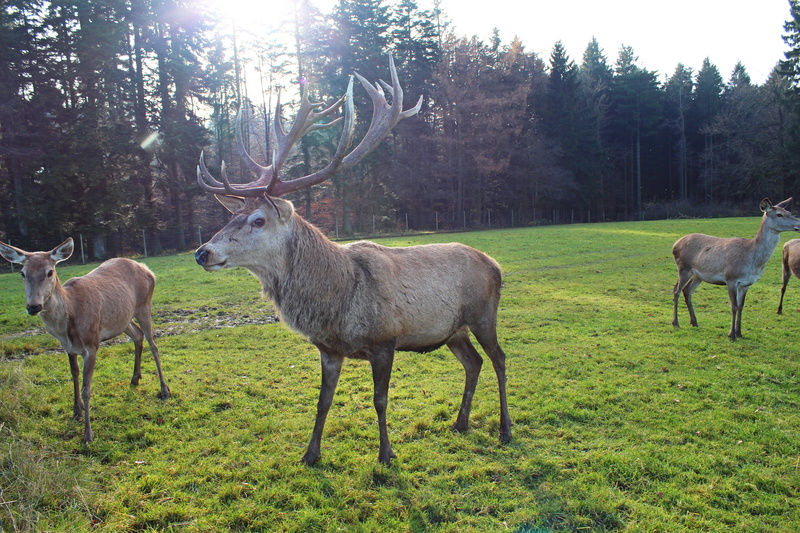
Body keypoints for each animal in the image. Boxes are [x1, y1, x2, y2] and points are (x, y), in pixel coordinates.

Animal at [0, 238, 171, 443]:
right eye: (22, 273)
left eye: (50, 272)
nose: (33, 306)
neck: (68, 319)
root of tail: (147, 269)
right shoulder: (68, 347)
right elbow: (74, 375)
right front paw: (76, 411)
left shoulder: (91, 343)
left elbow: (86, 388)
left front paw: (88, 434)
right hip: (121, 319)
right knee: (137, 335)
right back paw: (135, 378)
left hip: (144, 305)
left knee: (154, 345)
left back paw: (164, 389)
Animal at [194, 56, 512, 465]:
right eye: (231, 215)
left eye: (258, 219)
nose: (203, 252)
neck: (337, 303)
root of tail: (495, 264)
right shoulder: (329, 350)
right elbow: (322, 402)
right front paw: (310, 454)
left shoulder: (385, 340)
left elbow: (380, 400)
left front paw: (386, 454)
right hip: (452, 330)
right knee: (474, 363)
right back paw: (460, 422)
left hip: (483, 312)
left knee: (500, 359)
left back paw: (505, 428)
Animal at [672, 198, 800, 341]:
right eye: (779, 214)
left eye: (789, 212)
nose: (799, 224)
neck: (753, 261)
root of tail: (675, 245)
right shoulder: (731, 278)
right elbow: (733, 306)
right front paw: (731, 335)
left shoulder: (746, 284)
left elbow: (741, 306)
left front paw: (740, 333)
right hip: (684, 268)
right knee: (676, 291)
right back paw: (675, 323)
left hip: (698, 275)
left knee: (687, 291)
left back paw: (694, 322)